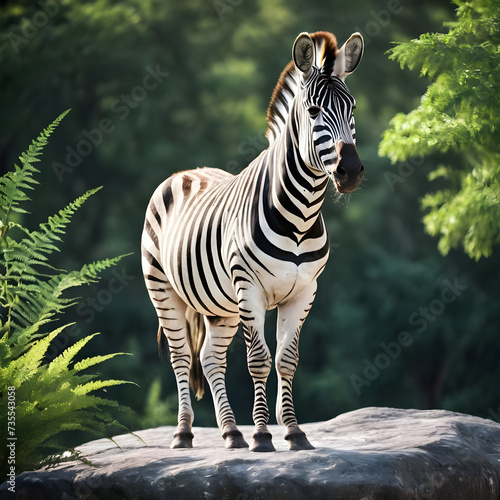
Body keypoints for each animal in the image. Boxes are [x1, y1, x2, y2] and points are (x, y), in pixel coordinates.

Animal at [141, 31, 364, 454]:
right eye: (313, 111)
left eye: (353, 107)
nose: (351, 171)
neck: (300, 217)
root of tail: (185, 172)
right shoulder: (251, 289)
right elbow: (258, 360)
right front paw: (263, 435)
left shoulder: (304, 291)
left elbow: (286, 359)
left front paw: (293, 431)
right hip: (164, 289)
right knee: (181, 357)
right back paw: (184, 433)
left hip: (221, 306)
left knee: (210, 359)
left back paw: (231, 433)